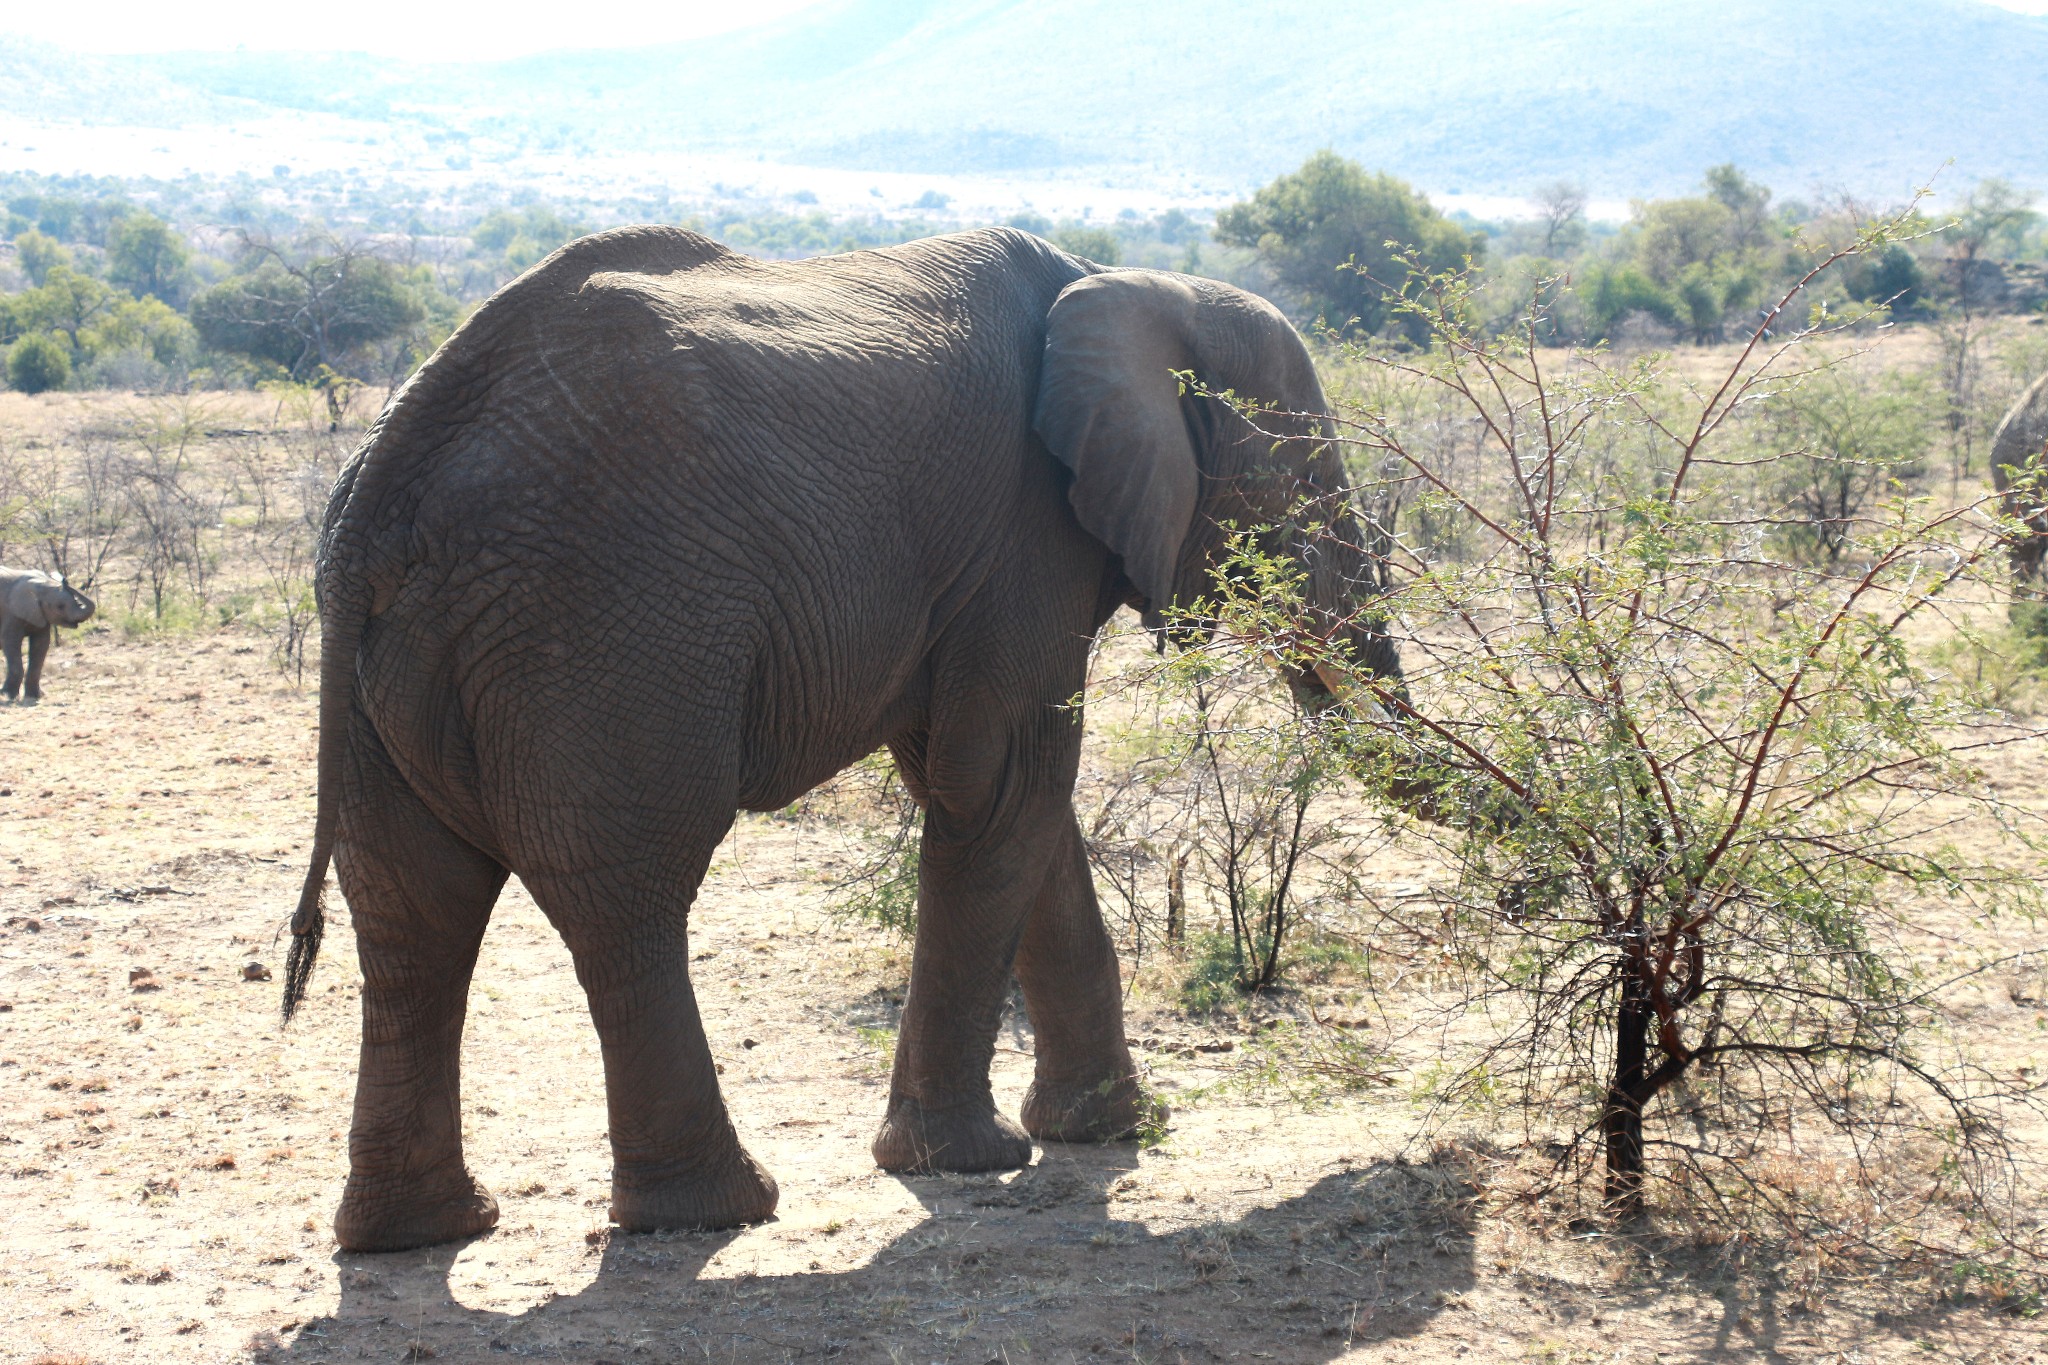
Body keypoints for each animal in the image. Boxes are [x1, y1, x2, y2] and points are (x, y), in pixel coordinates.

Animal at [0, 564, 95, 703]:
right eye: (60, 606)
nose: (64, 580)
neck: (41, 583)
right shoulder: (11, 614)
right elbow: (11, 642)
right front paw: (7, 695)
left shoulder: (40, 614)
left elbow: (41, 644)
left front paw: (34, 696)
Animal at [284, 227, 1409, 1260]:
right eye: (1306, 477)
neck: (1121, 283)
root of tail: (380, 486)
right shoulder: (1023, 534)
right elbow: (1003, 786)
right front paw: (967, 1160)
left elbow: (1012, 803)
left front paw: (1105, 1129)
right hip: (601, 631)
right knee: (624, 894)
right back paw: (717, 1212)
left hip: (413, 664)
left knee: (412, 912)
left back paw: (416, 1234)